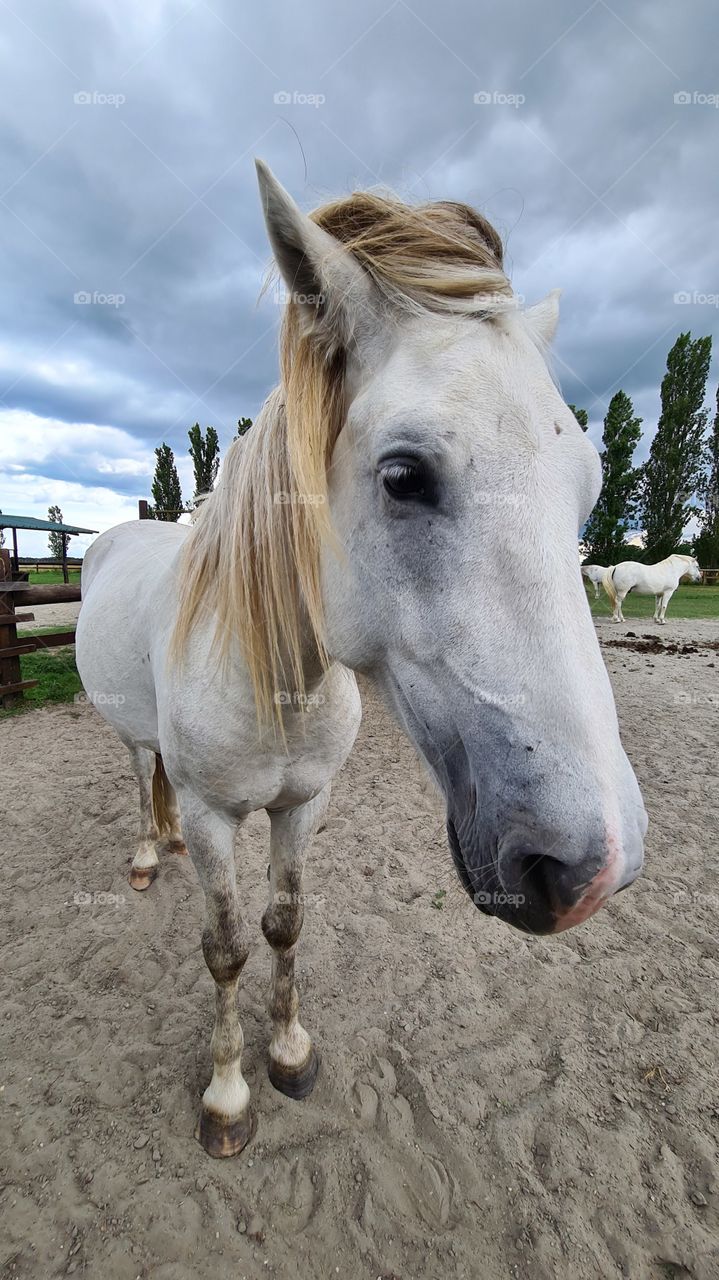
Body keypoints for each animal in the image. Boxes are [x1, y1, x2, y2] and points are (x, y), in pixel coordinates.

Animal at [75, 160, 647, 1158]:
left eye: (585, 490)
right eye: (403, 476)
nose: (592, 869)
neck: (277, 681)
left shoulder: (304, 804)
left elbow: (283, 925)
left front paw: (289, 1054)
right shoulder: (219, 817)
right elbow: (224, 948)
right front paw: (227, 1097)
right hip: (137, 742)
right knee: (143, 772)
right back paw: (150, 854)